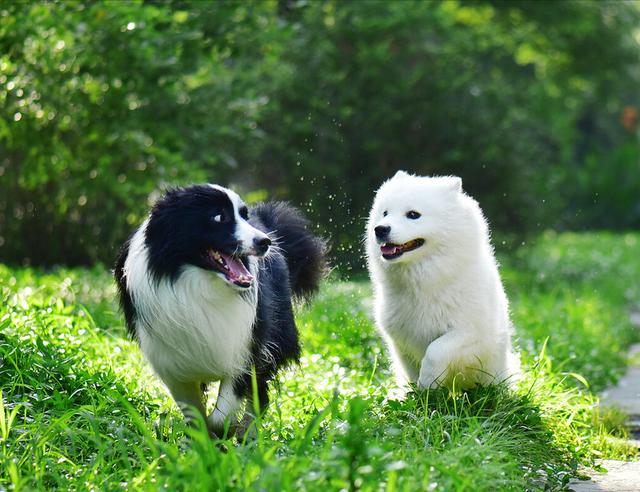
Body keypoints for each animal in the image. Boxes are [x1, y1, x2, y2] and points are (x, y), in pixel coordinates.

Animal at [113, 184, 324, 434]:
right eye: (219, 217)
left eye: (244, 216)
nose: (265, 242)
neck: (199, 283)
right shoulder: (173, 364)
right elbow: (195, 415)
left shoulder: (244, 348)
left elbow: (221, 413)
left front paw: (226, 432)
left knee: (260, 394)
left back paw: (248, 433)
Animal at [364, 171, 520, 390]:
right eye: (385, 213)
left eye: (413, 214)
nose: (380, 229)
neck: (423, 282)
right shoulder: (401, 340)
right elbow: (412, 371)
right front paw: (417, 394)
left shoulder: (472, 333)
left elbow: (435, 350)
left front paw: (428, 384)